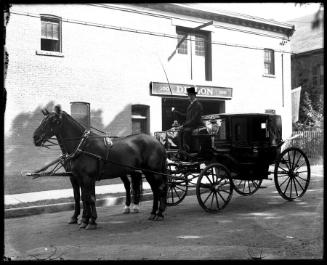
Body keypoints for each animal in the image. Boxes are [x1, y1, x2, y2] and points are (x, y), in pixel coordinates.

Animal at [32, 105, 169, 229]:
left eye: (52, 121)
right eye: (43, 120)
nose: (35, 137)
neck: (82, 146)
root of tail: (158, 142)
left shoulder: (88, 178)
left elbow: (90, 198)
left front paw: (91, 221)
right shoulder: (79, 178)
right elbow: (83, 198)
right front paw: (84, 220)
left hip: (155, 171)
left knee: (161, 188)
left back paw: (160, 213)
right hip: (147, 171)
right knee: (154, 190)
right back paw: (152, 213)